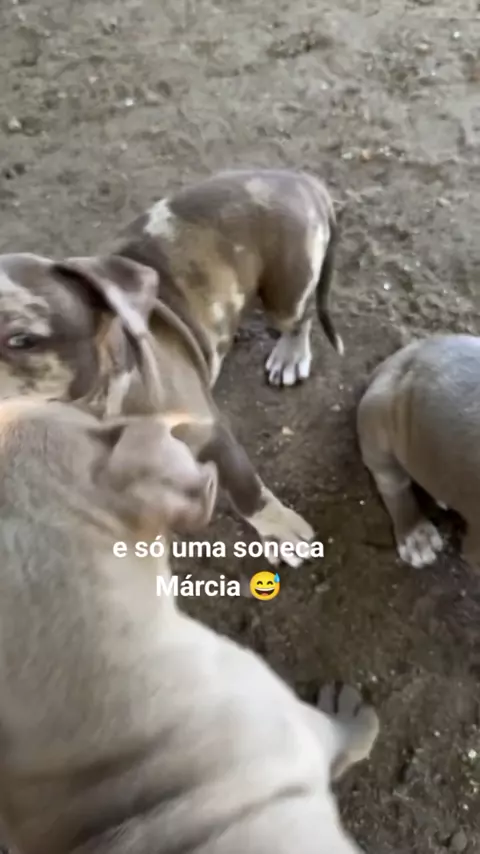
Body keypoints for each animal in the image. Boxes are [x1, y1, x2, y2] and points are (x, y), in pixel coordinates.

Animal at [0, 168, 343, 567]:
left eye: (22, 340)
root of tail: (297, 177)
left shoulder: (211, 433)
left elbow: (246, 489)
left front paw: (280, 530)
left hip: (286, 290)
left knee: (299, 317)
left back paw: (290, 354)